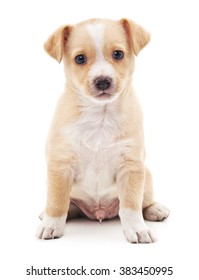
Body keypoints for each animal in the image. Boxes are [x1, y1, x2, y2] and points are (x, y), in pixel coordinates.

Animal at [36, 18, 169, 243]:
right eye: (80, 59)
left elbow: (131, 205)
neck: (100, 116)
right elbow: (56, 202)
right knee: (68, 207)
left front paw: (137, 229)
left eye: (118, 54)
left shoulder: (131, 167)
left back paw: (154, 209)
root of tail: (99, 212)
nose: (103, 81)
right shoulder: (60, 165)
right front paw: (51, 225)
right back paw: (45, 215)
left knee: (143, 202)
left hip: (147, 176)